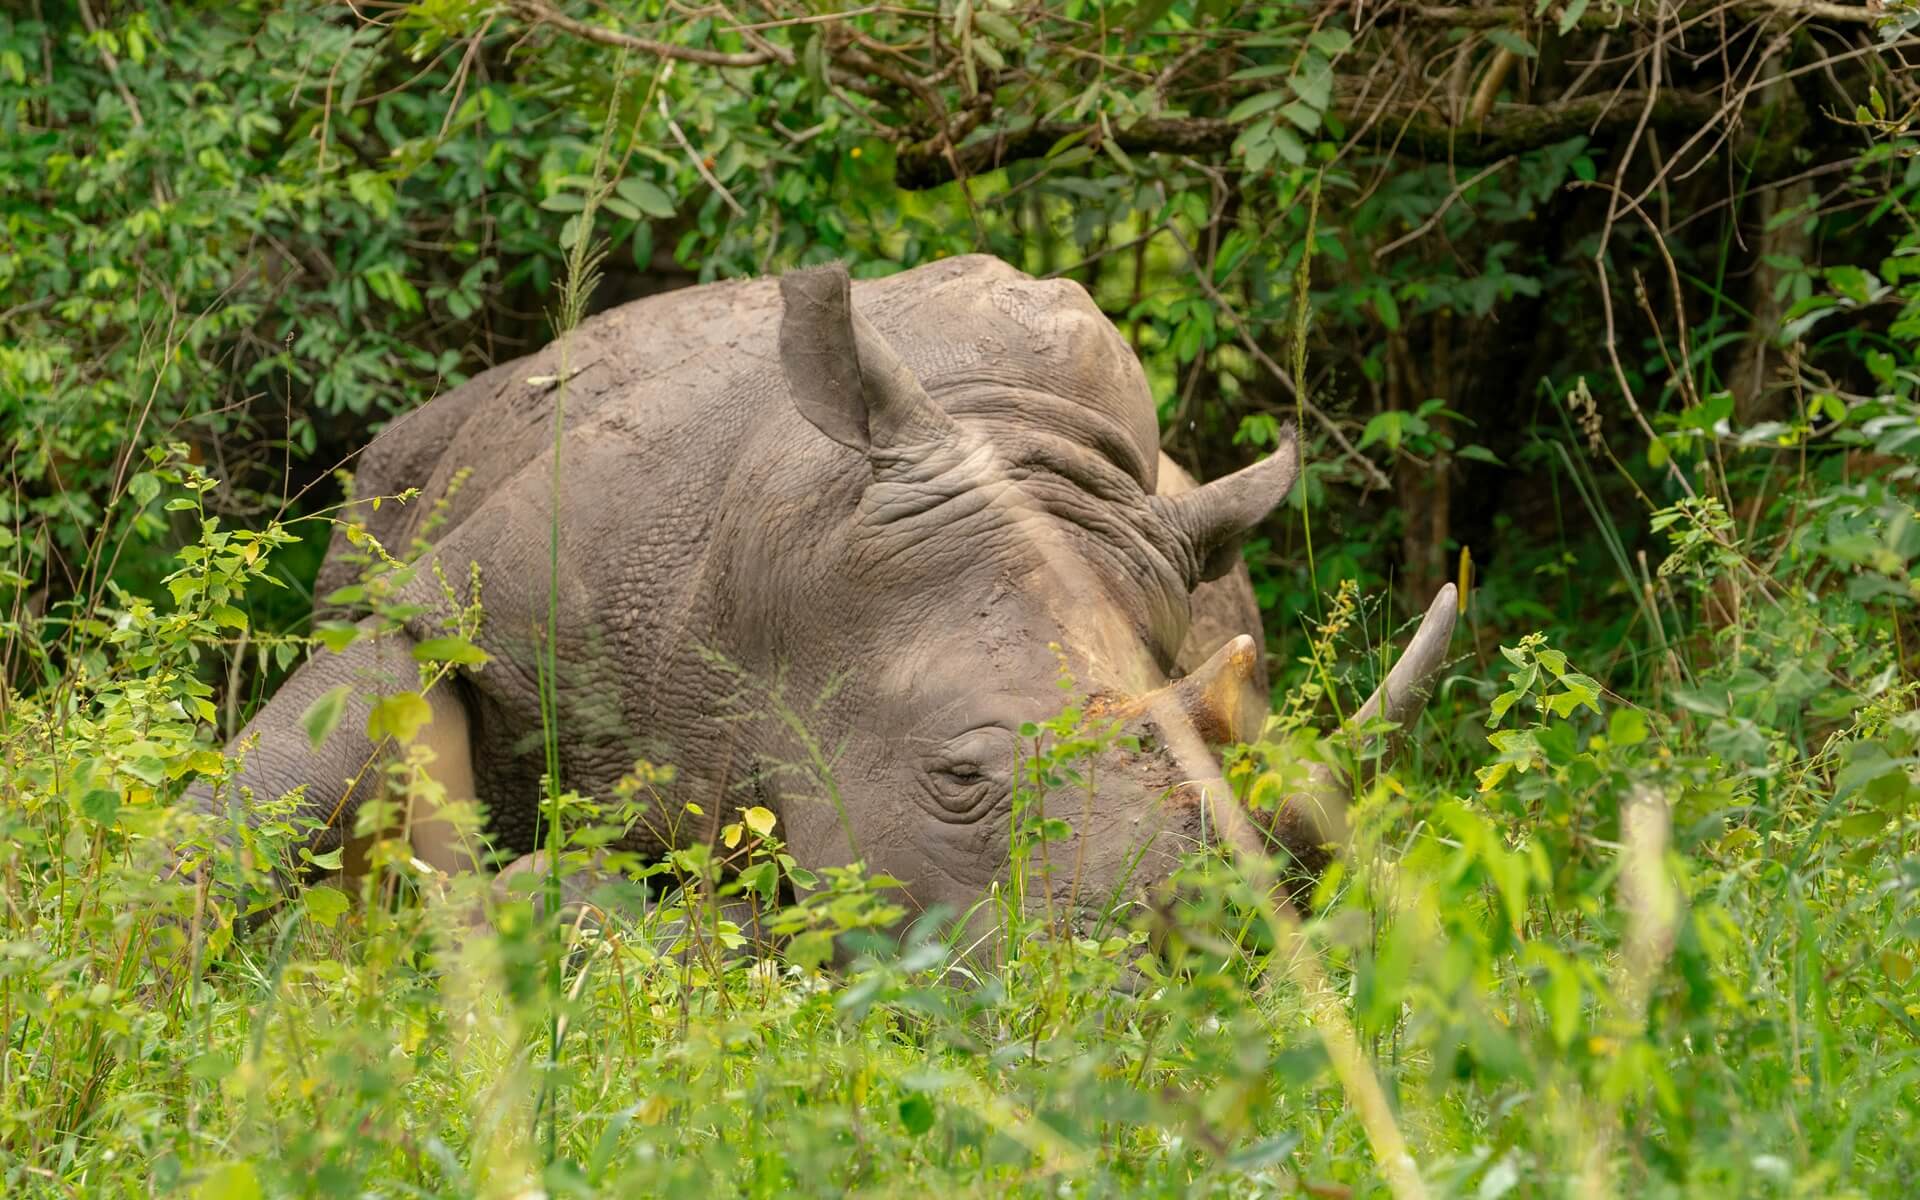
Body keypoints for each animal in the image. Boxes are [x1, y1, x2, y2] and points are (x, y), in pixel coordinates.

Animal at [195, 255, 1454, 936]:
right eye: (959, 779)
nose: (1148, 963)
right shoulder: (464, 597)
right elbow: (255, 799)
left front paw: (548, 900)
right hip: (412, 464)